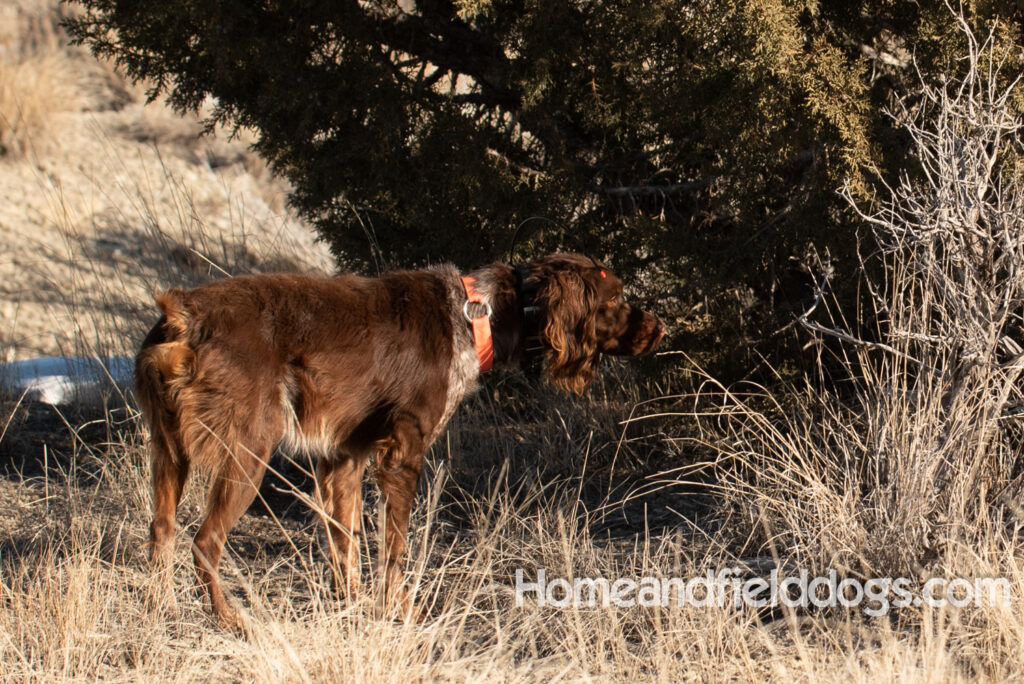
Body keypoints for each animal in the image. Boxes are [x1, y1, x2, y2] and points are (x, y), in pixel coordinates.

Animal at [134, 252, 663, 626]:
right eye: (615, 300)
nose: (660, 328)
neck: (475, 316)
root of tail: (183, 315)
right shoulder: (402, 455)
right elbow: (394, 550)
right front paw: (400, 611)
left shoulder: (343, 458)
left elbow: (346, 547)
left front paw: (349, 607)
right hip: (247, 451)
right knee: (205, 541)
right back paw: (231, 621)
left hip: (169, 450)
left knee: (161, 530)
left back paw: (163, 611)